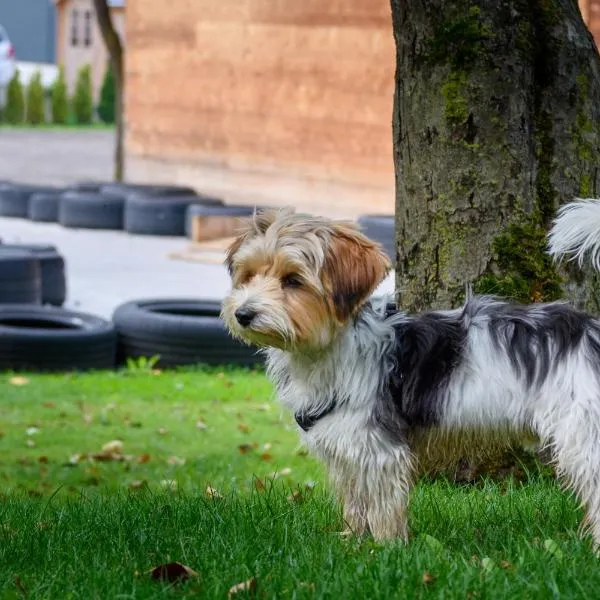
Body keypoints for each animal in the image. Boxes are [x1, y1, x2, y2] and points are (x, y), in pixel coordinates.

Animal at [223, 202, 600, 544]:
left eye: (293, 280)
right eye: (249, 275)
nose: (243, 314)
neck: (329, 347)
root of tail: (591, 330)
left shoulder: (379, 449)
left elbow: (382, 507)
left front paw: (385, 548)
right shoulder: (347, 445)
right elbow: (355, 501)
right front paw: (353, 541)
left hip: (584, 434)